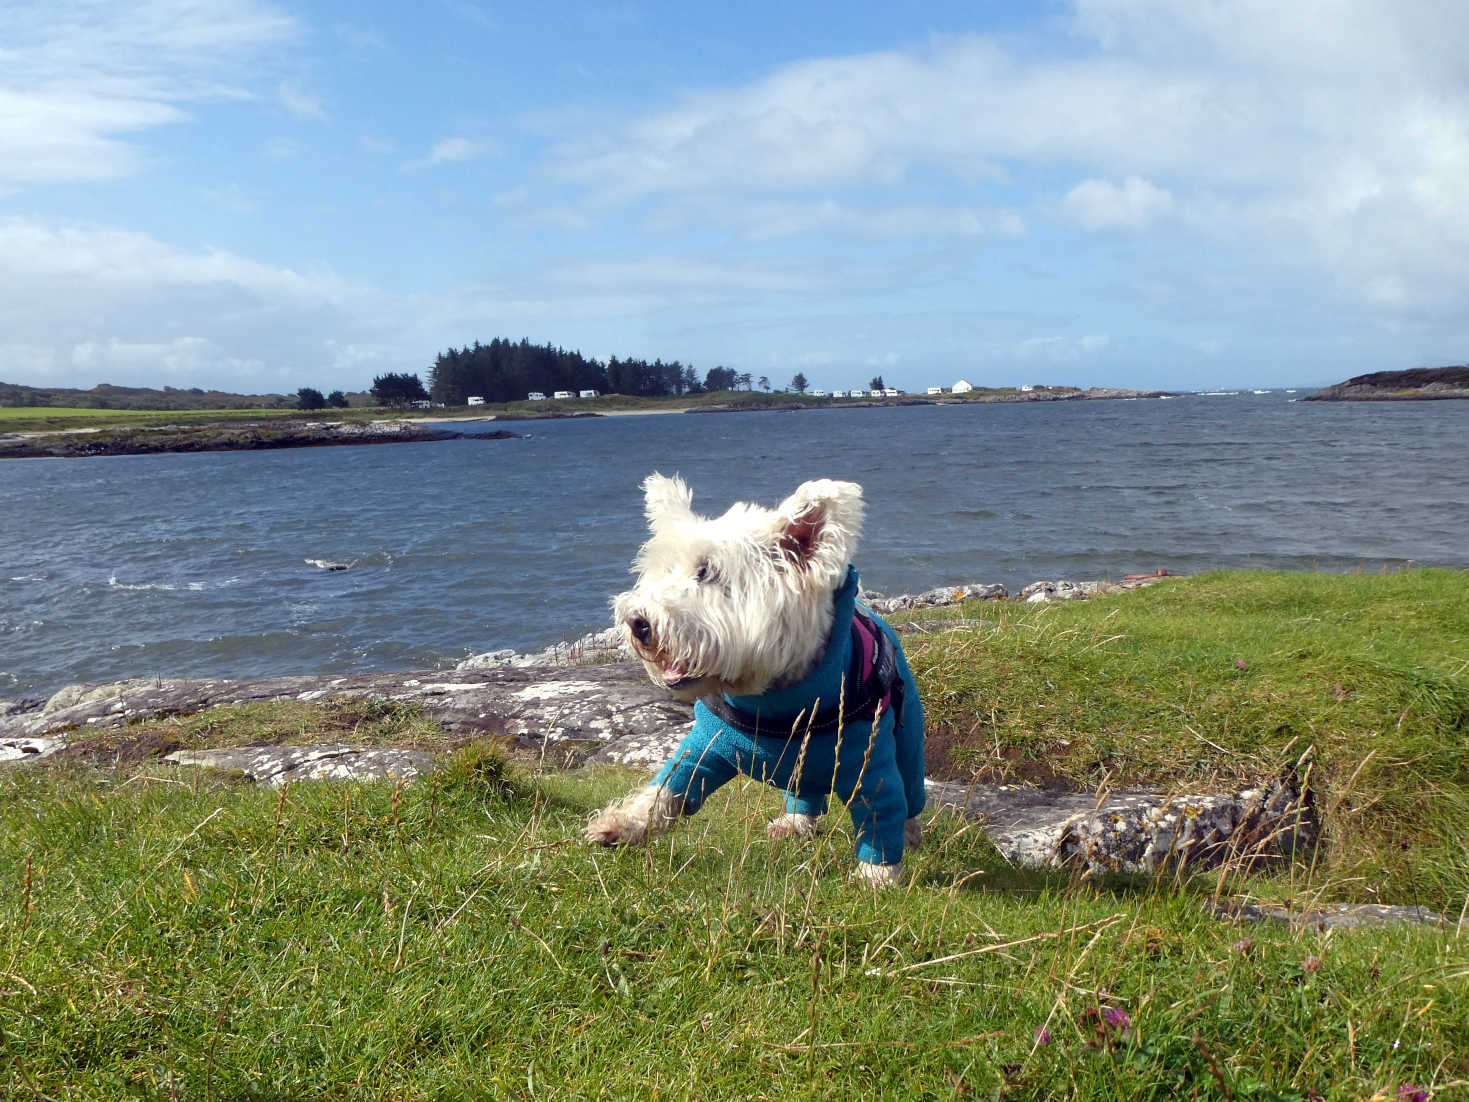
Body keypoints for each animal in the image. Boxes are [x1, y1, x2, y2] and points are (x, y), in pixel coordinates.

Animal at [587, 476, 922, 887]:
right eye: (664, 569)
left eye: (707, 572)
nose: (637, 621)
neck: (774, 701)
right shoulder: (706, 745)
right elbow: (670, 785)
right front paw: (623, 824)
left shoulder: (869, 763)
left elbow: (880, 814)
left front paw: (877, 876)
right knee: (805, 792)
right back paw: (794, 822)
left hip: (909, 736)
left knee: (910, 792)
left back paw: (910, 832)